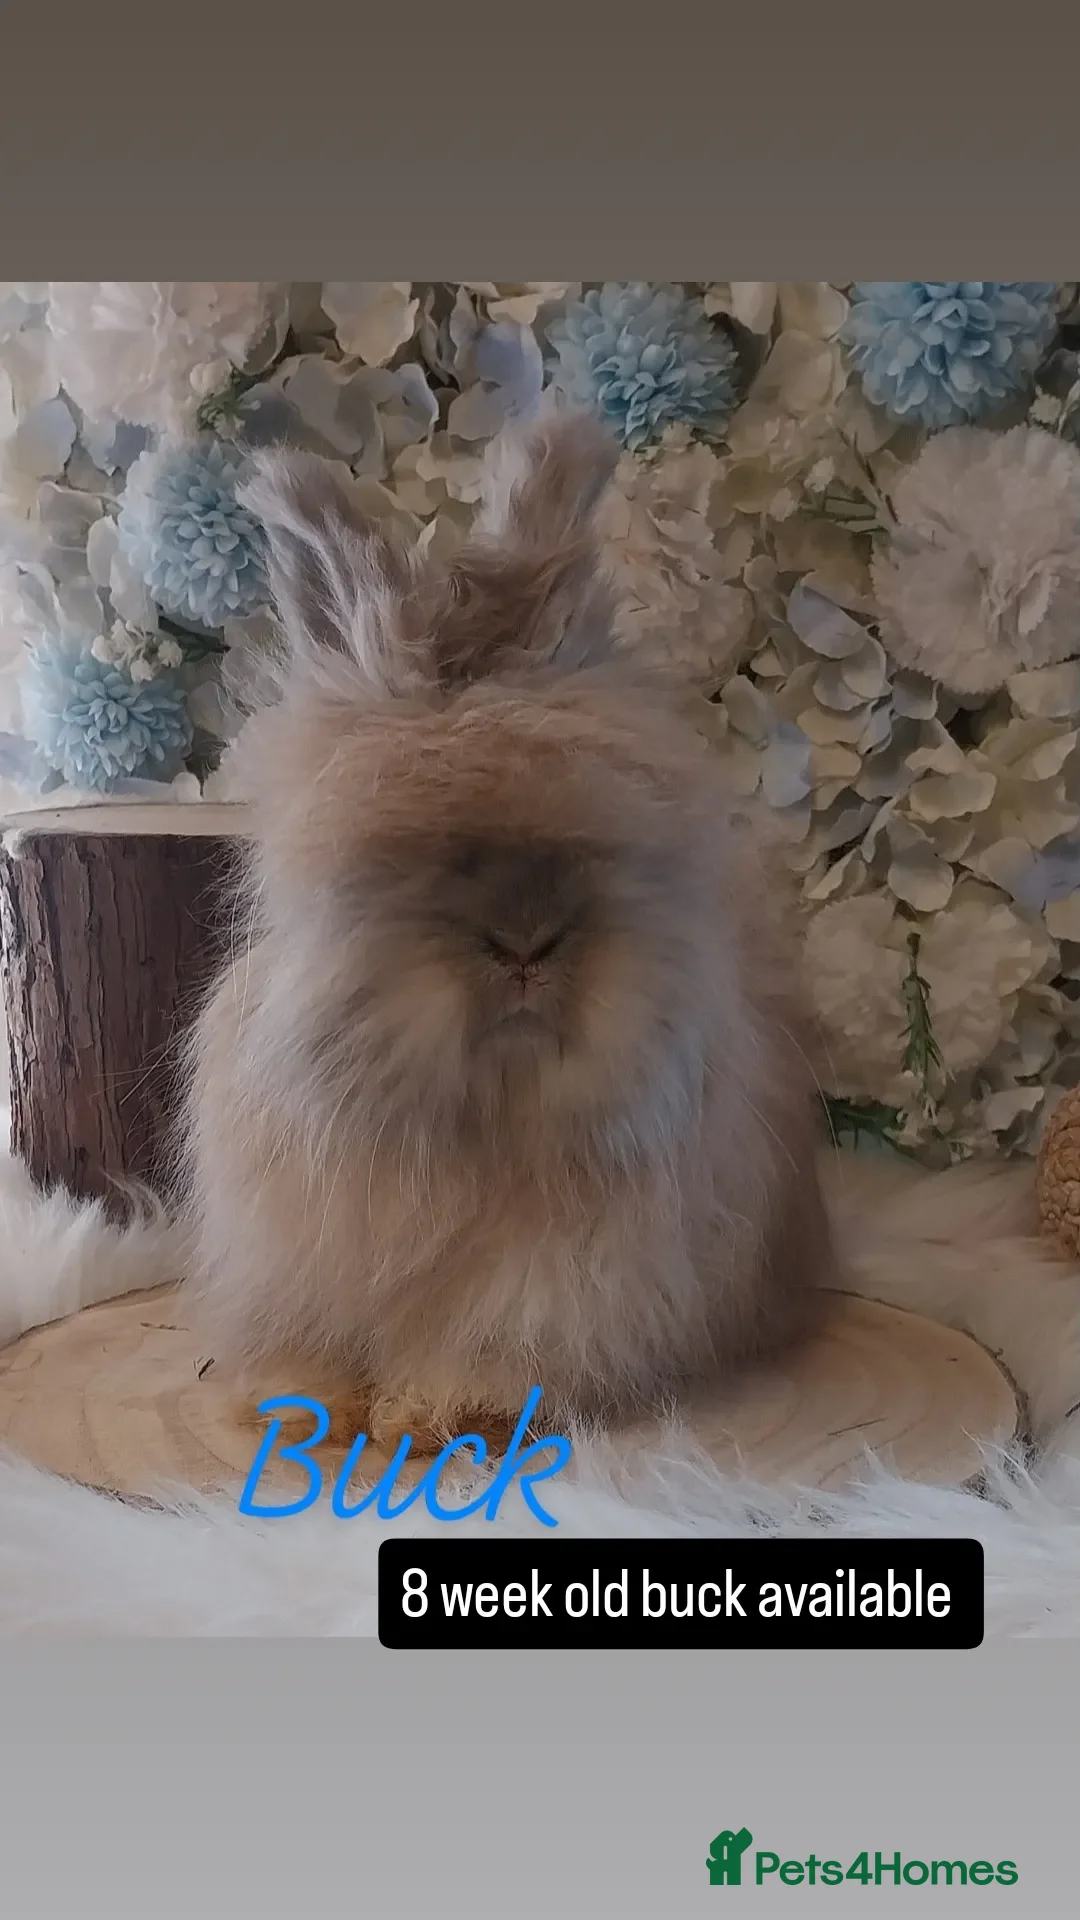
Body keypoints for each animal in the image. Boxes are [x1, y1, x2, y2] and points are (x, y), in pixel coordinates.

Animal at [179, 407, 833, 1455]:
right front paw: (305, 1406)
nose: (526, 944)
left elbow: (499, 1354)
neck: (486, 1121)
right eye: (381, 850)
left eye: (619, 827)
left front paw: (430, 1408)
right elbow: (303, 1359)